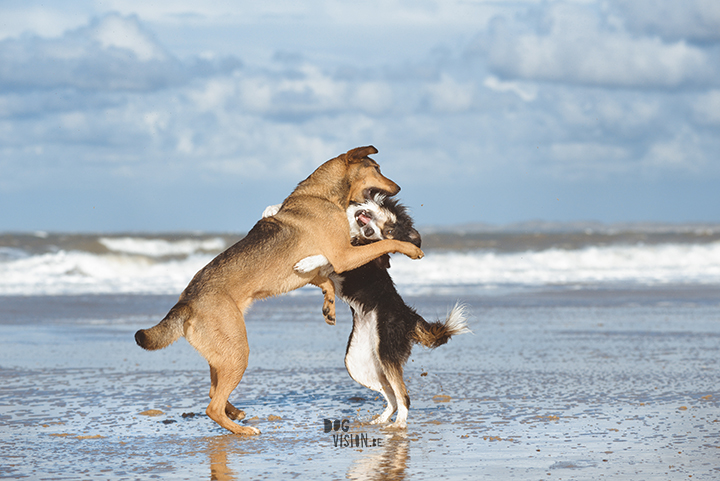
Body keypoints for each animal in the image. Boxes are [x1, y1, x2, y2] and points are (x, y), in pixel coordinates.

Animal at [134, 144, 422, 434]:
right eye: (376, 169)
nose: (397, 187)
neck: (320, 195)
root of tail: (186, 302)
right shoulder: (344, 256)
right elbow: (383, 244)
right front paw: (411, 249)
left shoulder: (325, 267)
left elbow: (326, 279)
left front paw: (329, 305)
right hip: (238, 351)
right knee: (212, 406)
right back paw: (244, 430)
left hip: (222, 354)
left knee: (214, 392)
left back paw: (236, 413)